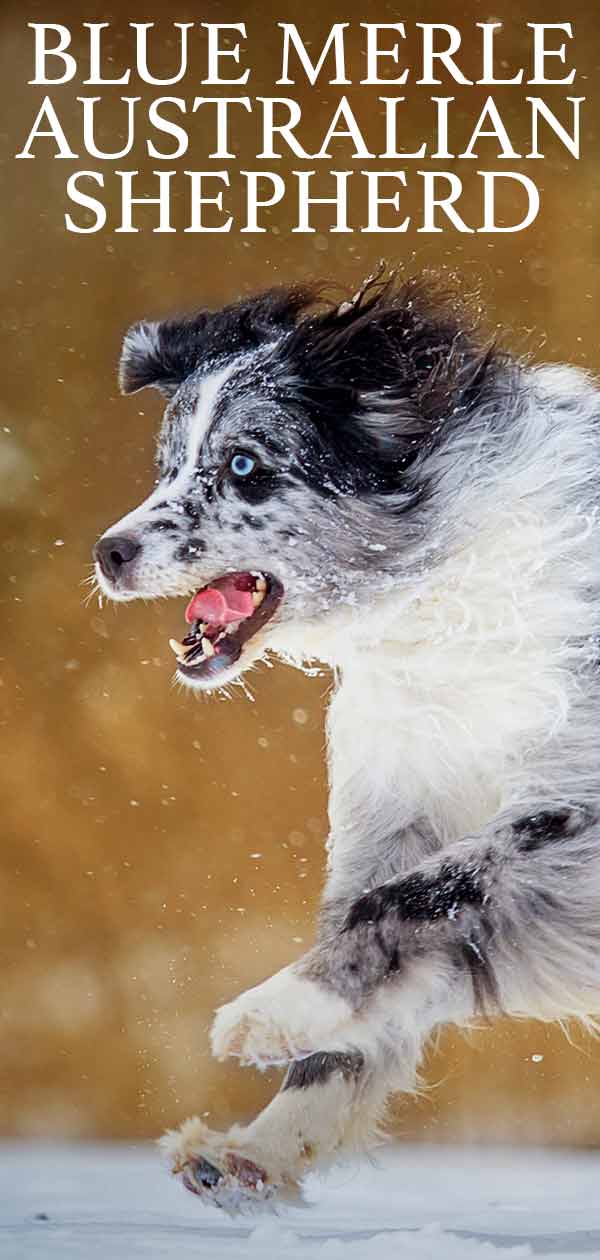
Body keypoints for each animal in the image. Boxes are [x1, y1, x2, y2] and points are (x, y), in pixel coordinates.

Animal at [92, 268, 600, 1209]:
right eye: (167, 465)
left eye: (244, 467)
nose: (110, 551)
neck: (438, 590)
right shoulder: (395, 806)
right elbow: (385, 949)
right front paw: (259, 1149)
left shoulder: (571, 811)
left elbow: (414, 899)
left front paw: (272, 1013)